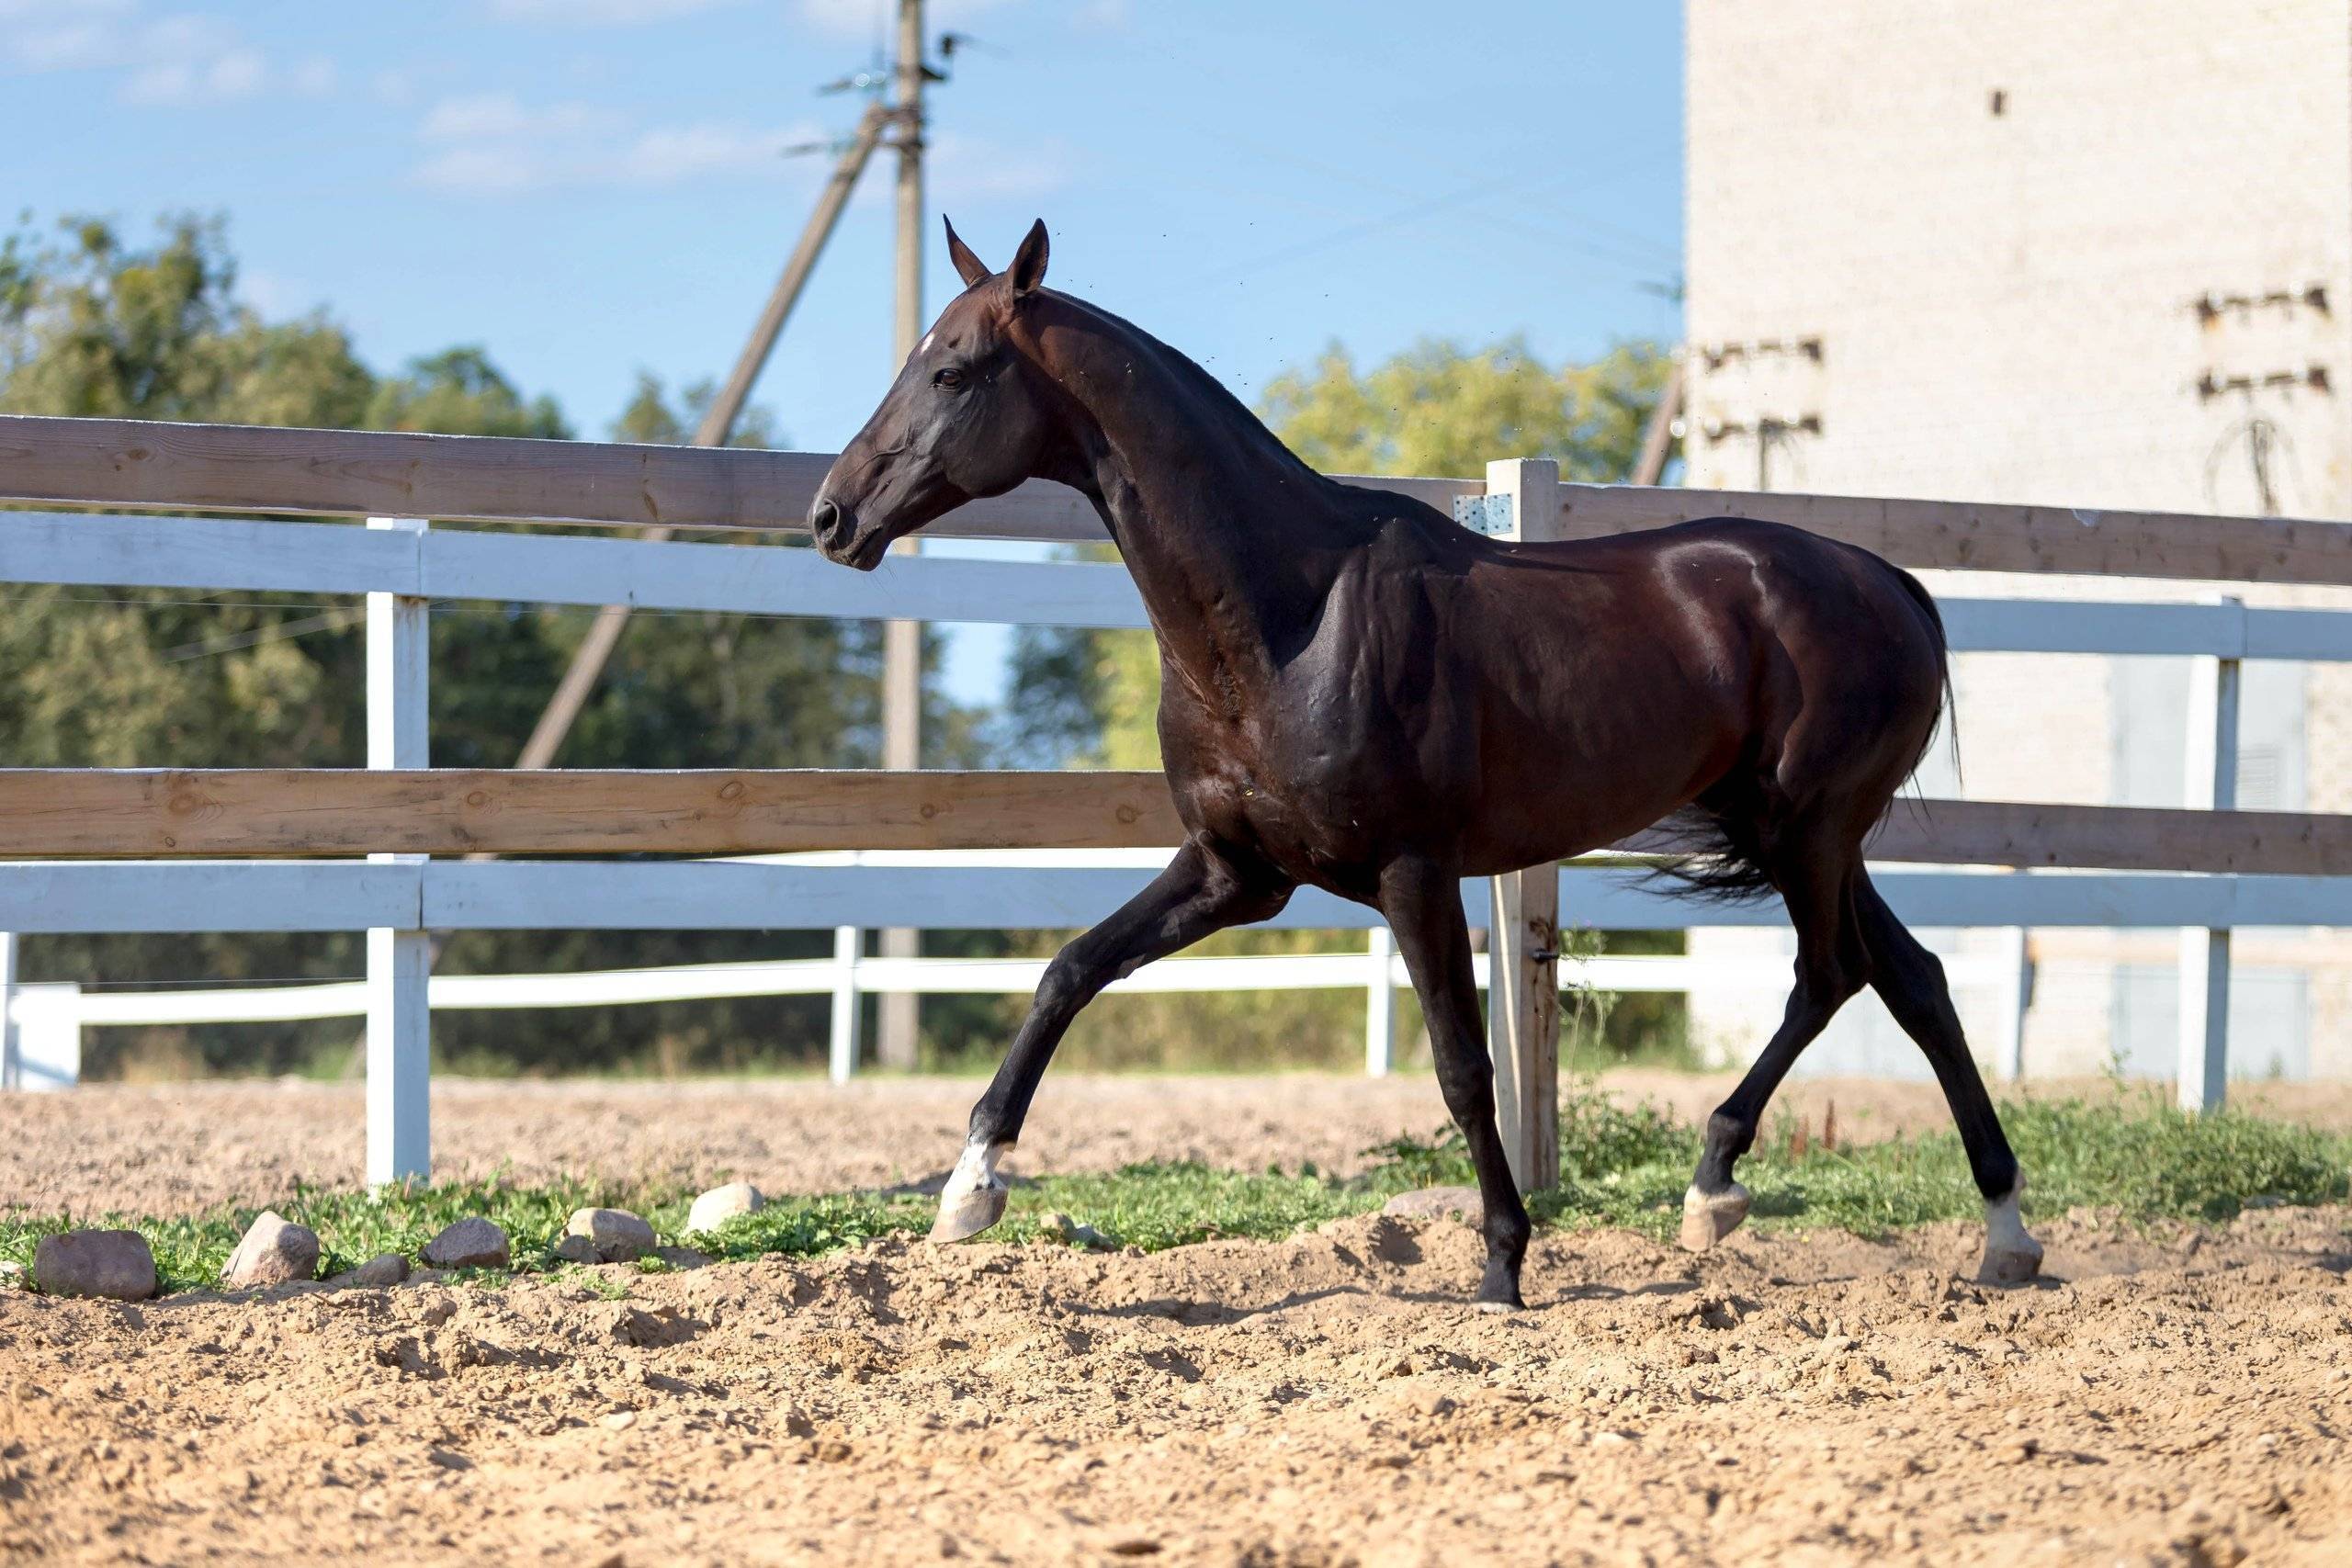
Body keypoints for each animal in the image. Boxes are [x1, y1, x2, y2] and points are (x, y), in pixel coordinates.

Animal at [813, 215, 2041, 1306]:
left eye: (953, 372)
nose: (832, 517)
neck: (1289, 617)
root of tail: (1890, 584)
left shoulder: (1412, 872)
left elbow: (1461, 1066)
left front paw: (1502, 1266)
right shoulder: (1234, 874)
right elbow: (1069, 970)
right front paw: (967, 1193)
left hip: (1807, 828)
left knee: (1830, 975)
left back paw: (1714, 1189)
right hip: (1800, 833)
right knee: (1911, 978)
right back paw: (2001, 1234)